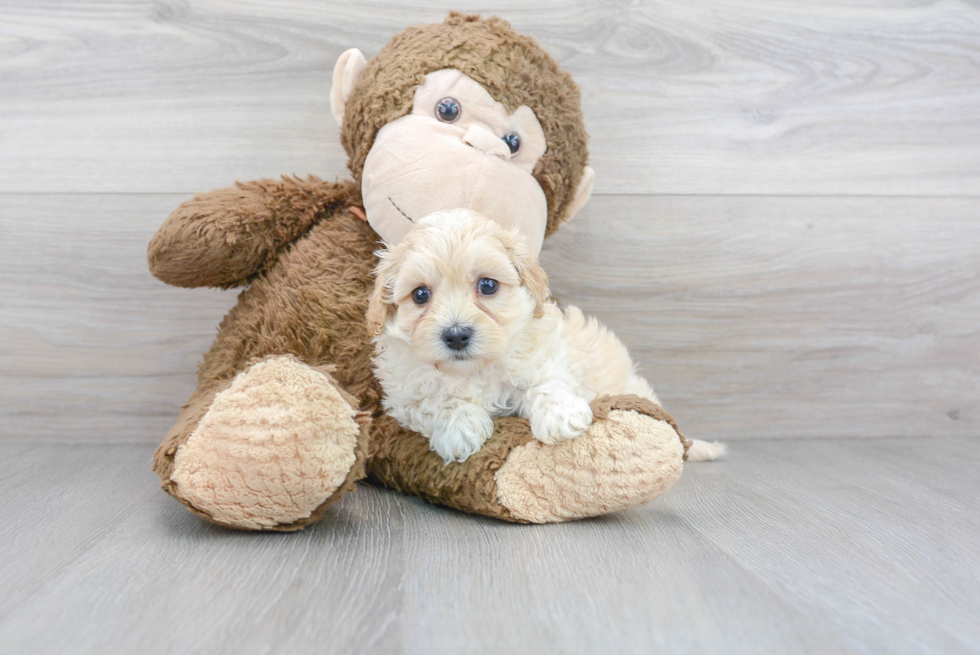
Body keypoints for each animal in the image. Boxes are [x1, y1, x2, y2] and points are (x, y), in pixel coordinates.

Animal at [364, 213, 724, 464]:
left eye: (488, 286)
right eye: (420, 295)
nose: (456, 335)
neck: (474, 370)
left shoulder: (545, 357)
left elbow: (546, 384)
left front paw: (561, 417)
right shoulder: (404, 395)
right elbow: (436, 401)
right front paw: (458, 429)